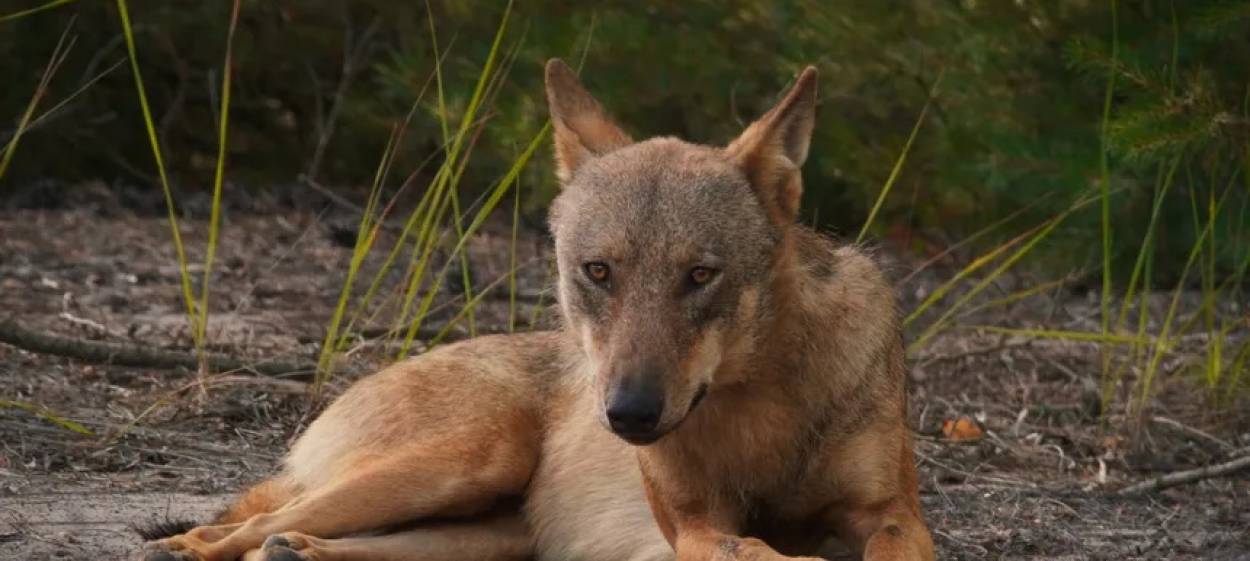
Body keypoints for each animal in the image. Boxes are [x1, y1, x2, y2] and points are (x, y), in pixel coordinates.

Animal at [139, 59, 935, 561]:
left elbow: (888, 543)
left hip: (489, 529)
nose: (628, 414)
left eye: (701, 275)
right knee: (238, 532)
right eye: (598, 271)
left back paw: (296, 553)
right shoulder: (694, 523)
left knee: (289, 540)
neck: (760, 407)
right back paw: (196, 548)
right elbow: (755, 550)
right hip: (467, 461)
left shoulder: (892, 514)